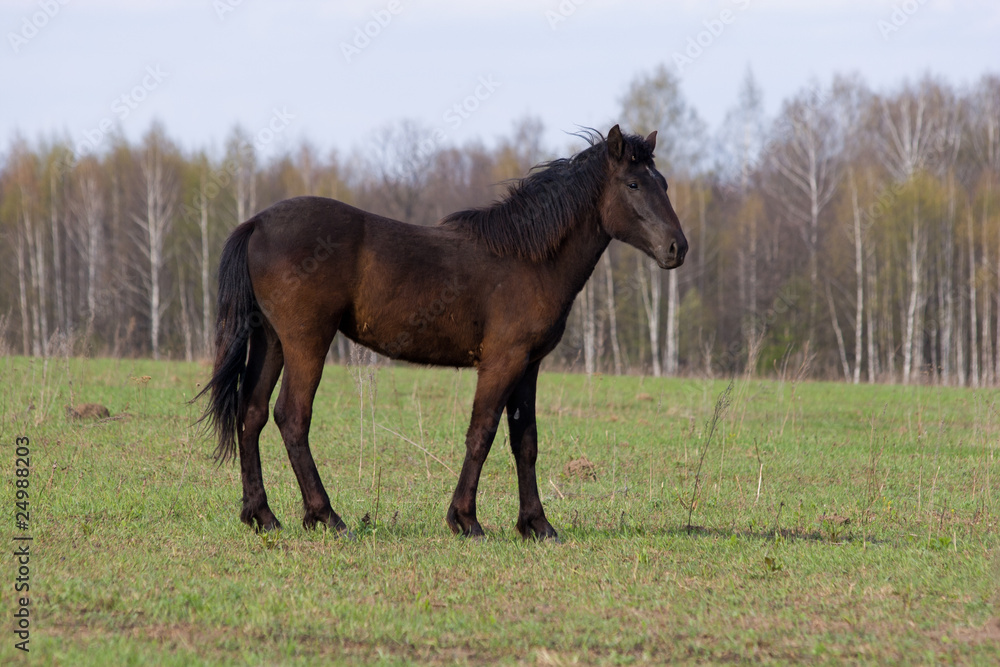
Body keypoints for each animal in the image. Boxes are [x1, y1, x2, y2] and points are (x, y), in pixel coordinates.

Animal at [196, 125, 687, 540]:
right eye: (633, 184)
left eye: (664, 182)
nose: (677, 248)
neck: (528, 258)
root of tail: (257, 222)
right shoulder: (502, 361)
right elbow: (482, 433)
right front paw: (465, 520)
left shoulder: (528, 365)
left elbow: (525, 441)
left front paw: (537, 524)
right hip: (307, 343)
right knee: (292, 417)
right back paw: (326, 516)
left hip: (272, 341)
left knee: (252, 414)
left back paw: (262, 515)